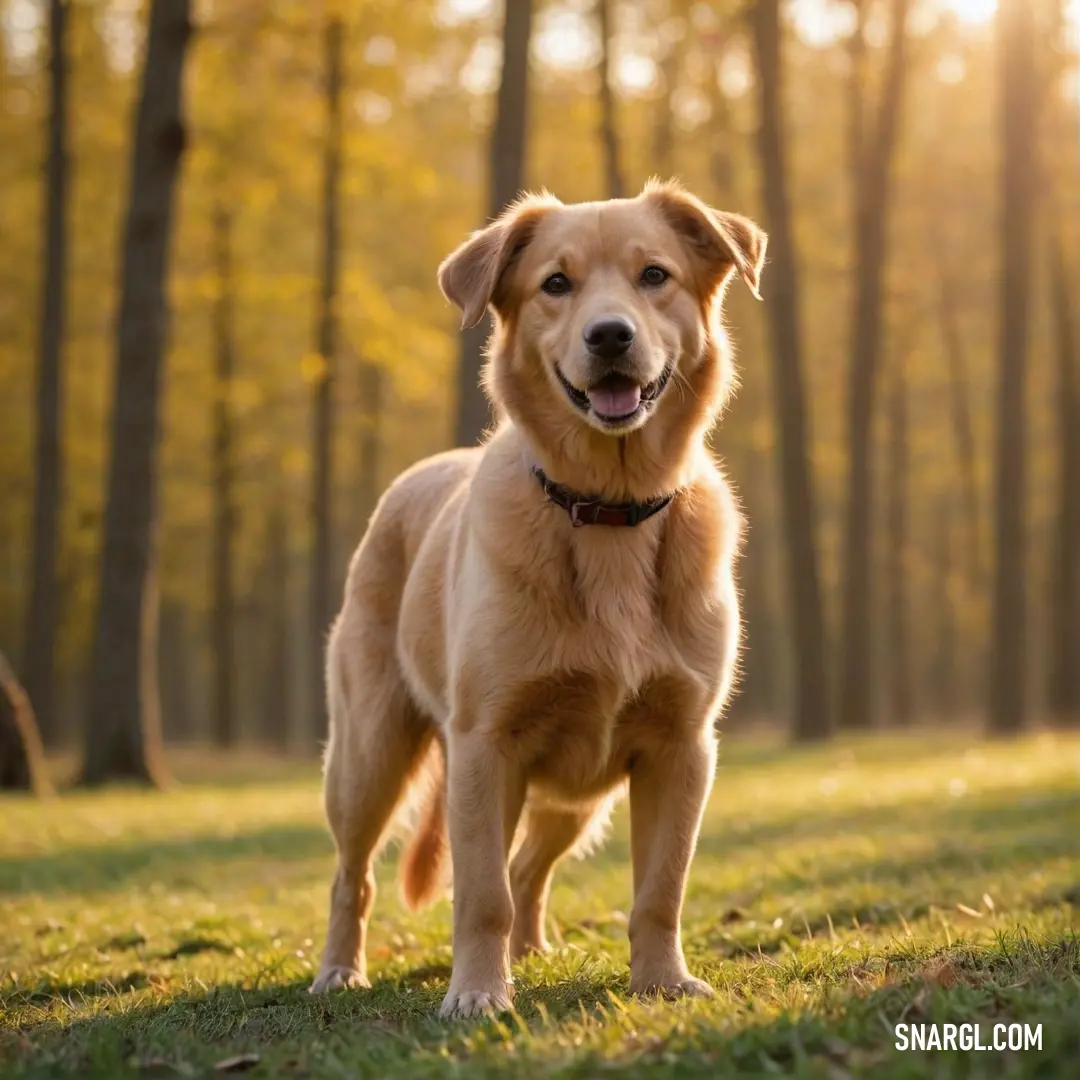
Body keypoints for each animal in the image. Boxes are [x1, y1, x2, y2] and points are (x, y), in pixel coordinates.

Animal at [311, 181, 768, 1015]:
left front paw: (661, 980)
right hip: (369, 757)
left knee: (529, 867)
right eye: (556, 283)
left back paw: (530, 950)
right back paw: (339, 970)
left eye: (655, 275)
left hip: (578, 797)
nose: (610, 335)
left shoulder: (681, 748)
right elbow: (479, 894)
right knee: (352, 877)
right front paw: (478, 993)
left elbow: (660, 889)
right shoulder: (486, 746)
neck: (610, 507)